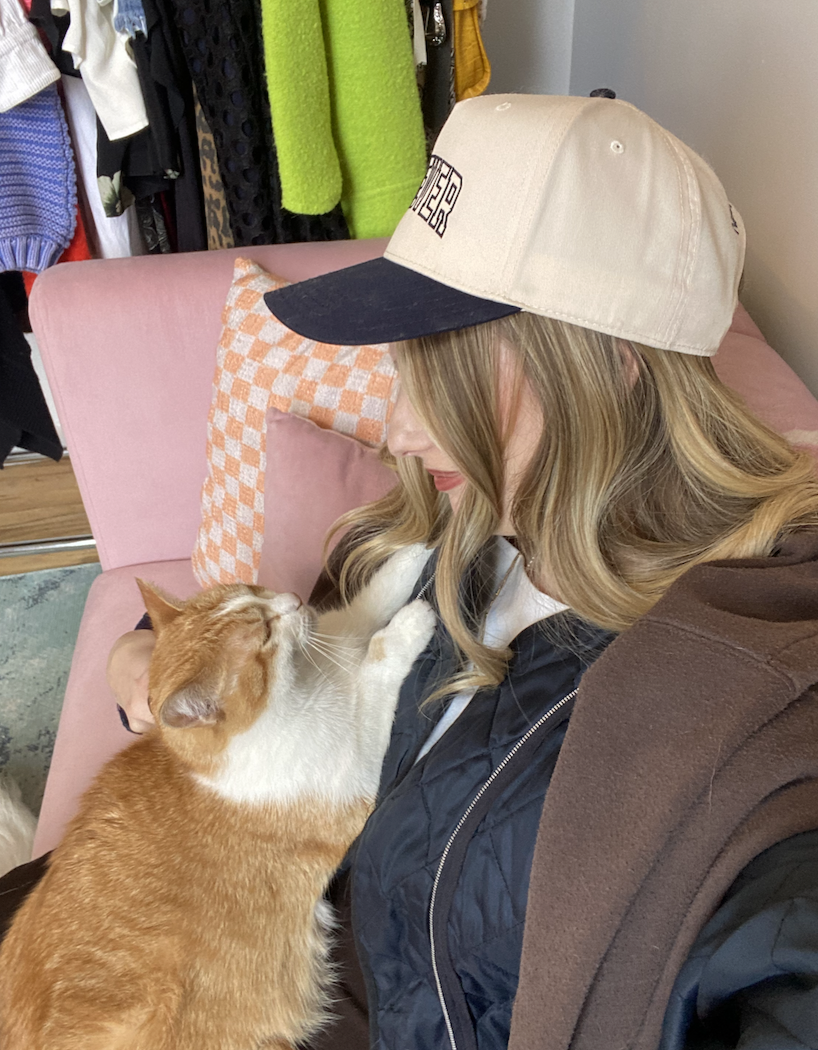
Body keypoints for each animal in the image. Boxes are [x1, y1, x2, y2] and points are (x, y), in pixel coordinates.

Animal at [0, 546, 434, 1045]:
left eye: (255, 589)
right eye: (264, 633)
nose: (293, 600)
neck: (303, 689)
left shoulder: (336, 642)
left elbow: (369, 600)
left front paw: (417, 547)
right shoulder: (357, 759)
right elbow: (377, 658)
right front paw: (412, 624)